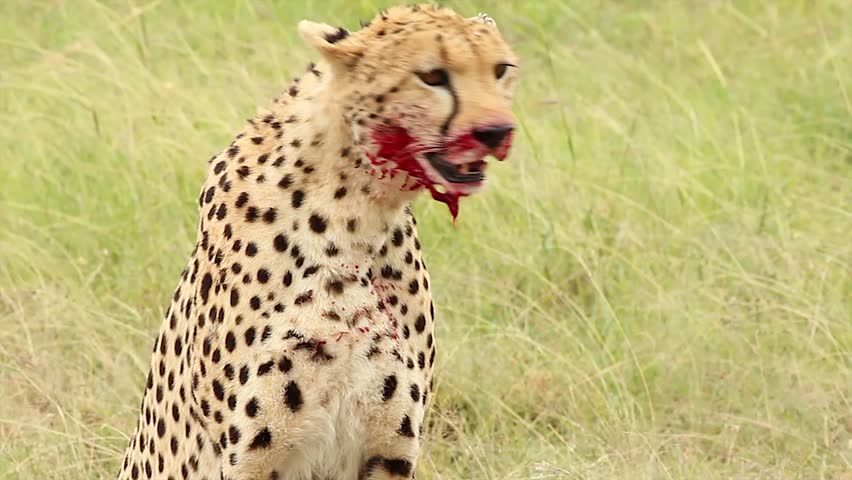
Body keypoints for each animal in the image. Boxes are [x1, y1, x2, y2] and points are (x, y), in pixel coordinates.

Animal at [117, 4, 518, 479]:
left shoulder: (390, 451)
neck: (354, 217)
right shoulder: (250, 458)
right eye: (432, 76)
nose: (496, 131)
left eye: (501, 70)